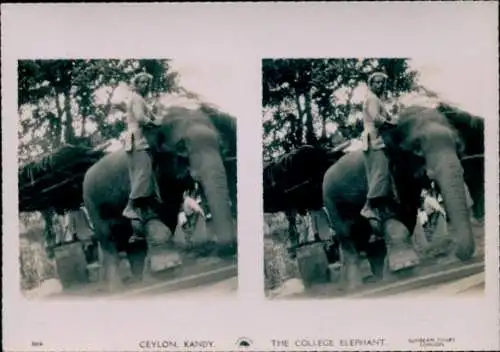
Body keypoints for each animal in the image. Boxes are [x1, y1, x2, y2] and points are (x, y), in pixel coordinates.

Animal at [82, 102, 238, 292]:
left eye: (220, 146)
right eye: (181, 148)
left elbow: (168, 216)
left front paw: (156, 275)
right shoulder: (141, 175)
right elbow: (149, 212)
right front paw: (167, 268)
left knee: (132, 243)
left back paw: (138, 281)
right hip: (92, 202)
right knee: (108, 239)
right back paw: (116, 288)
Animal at [322, 103, 482, 290]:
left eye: (457, 146)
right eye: (417, 148)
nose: (453, 256)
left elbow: (407, 215)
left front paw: (396, 274)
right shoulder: (383, 174)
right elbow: (387, 210)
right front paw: (405, 266)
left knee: (370, 241)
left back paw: (379, 278)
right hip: (331, 202)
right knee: (348, 237)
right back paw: (355, 286)